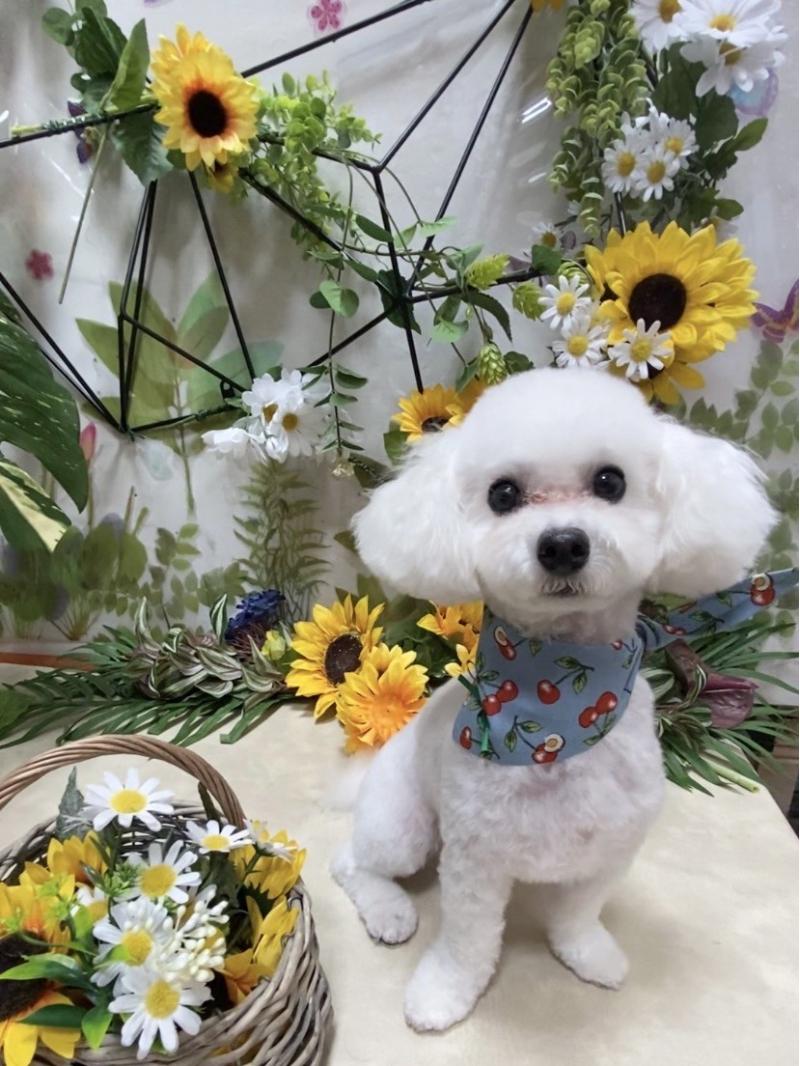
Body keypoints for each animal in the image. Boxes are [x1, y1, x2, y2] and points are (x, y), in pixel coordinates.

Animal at [331, 367, 775, 1032]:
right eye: (503, 494)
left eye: (610, 482)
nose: (563, 544)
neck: (558, 716)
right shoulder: (475, 859)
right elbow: (468, 942)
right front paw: (443, 993)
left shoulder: (610, 850)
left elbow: (577, 916)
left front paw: (588, 955)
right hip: (403, 826)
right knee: (351, 863)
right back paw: (390, 912)